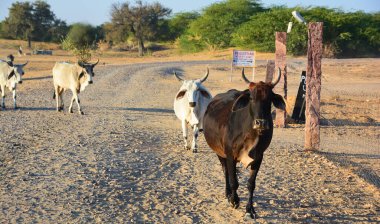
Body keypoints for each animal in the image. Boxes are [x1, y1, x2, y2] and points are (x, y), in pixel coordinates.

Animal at [203, 67, 286, 220]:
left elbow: (251, 184)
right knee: (225, 172)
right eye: (252, 98)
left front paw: (250, 209)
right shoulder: (230, 155)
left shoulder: (259, 157)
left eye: (269, 99)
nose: (261, 123)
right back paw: (228, 194)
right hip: (219, 153)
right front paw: (234, 200)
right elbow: (234, 181)